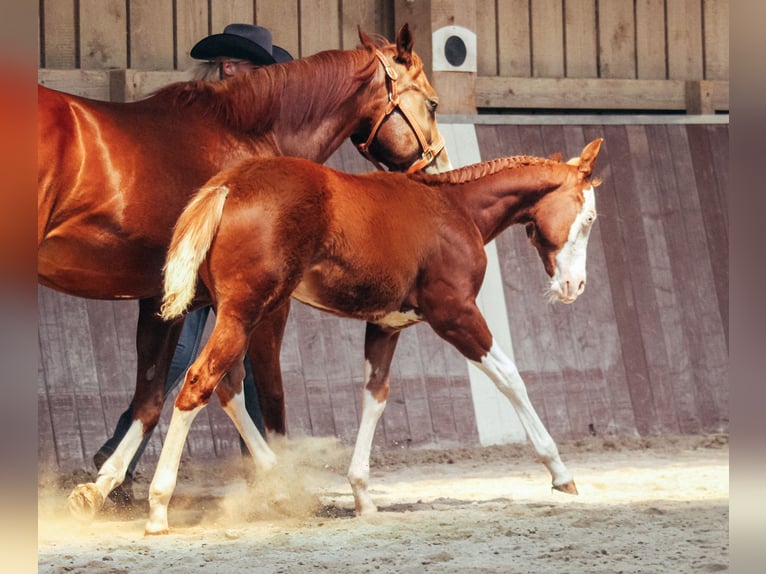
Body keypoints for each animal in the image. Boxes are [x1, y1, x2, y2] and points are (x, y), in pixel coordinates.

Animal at [38, 23, 452, 519]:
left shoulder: (174, 301)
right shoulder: (265, 305)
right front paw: (285, 481)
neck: (246, 138)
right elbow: (266, 394)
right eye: (431, 103)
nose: (442, 171)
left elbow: (155, 395)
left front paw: (103, 484)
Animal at [148, 138, 604, 534]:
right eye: (589, 218)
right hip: (247, 312)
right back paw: (159, 507)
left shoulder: (386, 325)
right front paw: (560, 472)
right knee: (200, 383)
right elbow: (511, 378)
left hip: (234, 312)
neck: (454, 209)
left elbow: (375, 395)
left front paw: (363, 496)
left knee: (227, 386)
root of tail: (227, 185)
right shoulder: (454, 314)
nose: (575, 286)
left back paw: (280, 480)